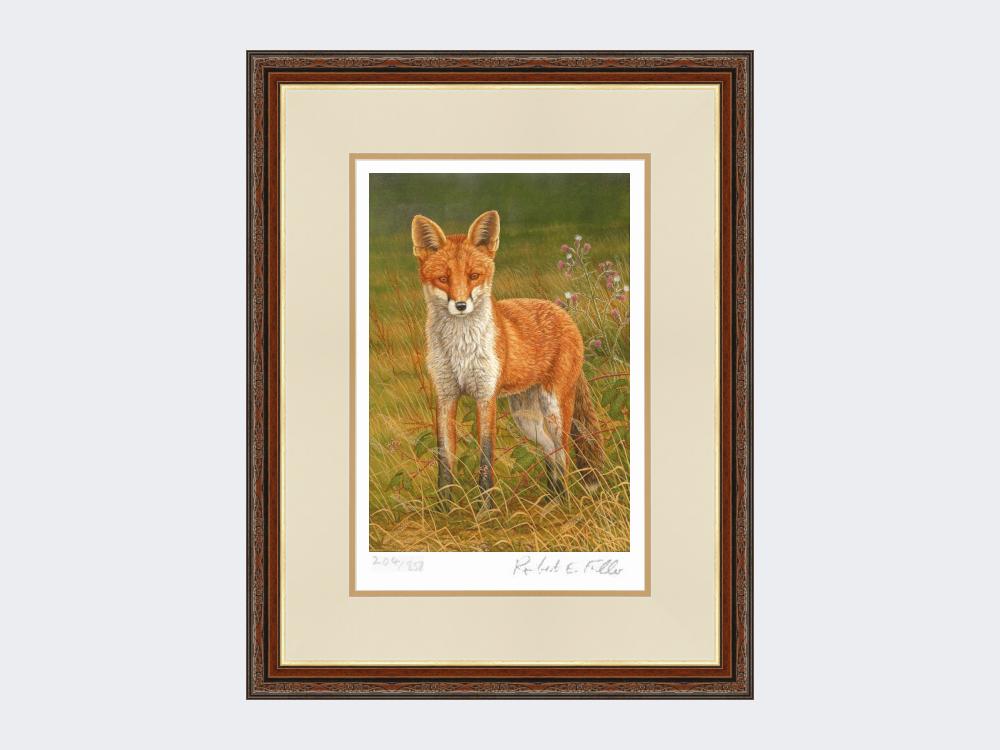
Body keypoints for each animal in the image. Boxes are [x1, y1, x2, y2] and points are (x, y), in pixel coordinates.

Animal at [412, 210, 605, 510]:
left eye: (474, 276)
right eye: (443, 278)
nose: (460, 305)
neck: (460, 349)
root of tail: (563, 313)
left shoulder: (485, 395)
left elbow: (485, 456)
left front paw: (485, 511)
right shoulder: (445, 395)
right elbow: (444, 458)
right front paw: (444, 509)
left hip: (554, 409)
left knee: (564, 453)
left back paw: (563, 504)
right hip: (526, 418)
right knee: (551, 452)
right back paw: (551, 501)